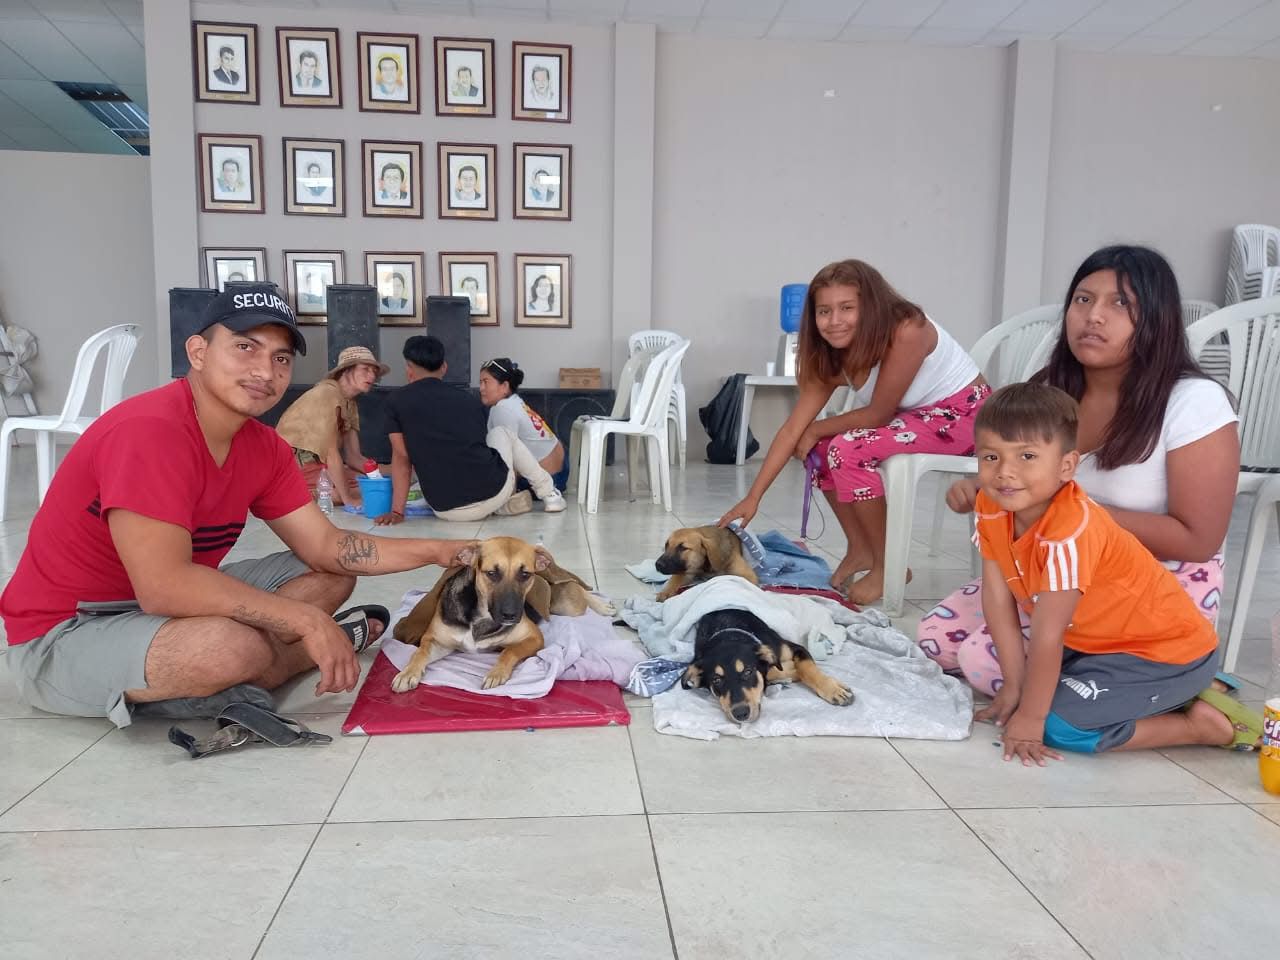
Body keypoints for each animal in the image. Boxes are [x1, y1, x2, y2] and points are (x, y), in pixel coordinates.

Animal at [390, 536, 615, 693]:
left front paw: (496, 673)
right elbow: (420, 652)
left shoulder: (534, 637)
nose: (510, 615)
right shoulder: (436, 641)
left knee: (578, 588)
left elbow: (510, 651)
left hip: (567, 604)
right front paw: (408, 673)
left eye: (525, 574)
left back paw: (603, 606)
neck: (480, 616)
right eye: (491, 573)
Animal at [680, 608, 855, 723]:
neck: (728, 634)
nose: (741, 714)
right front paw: (789, 671)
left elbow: (807, 668)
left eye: (748, 672)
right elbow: (774, 671)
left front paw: (834, 691)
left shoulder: (796, 648)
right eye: (716, 680)